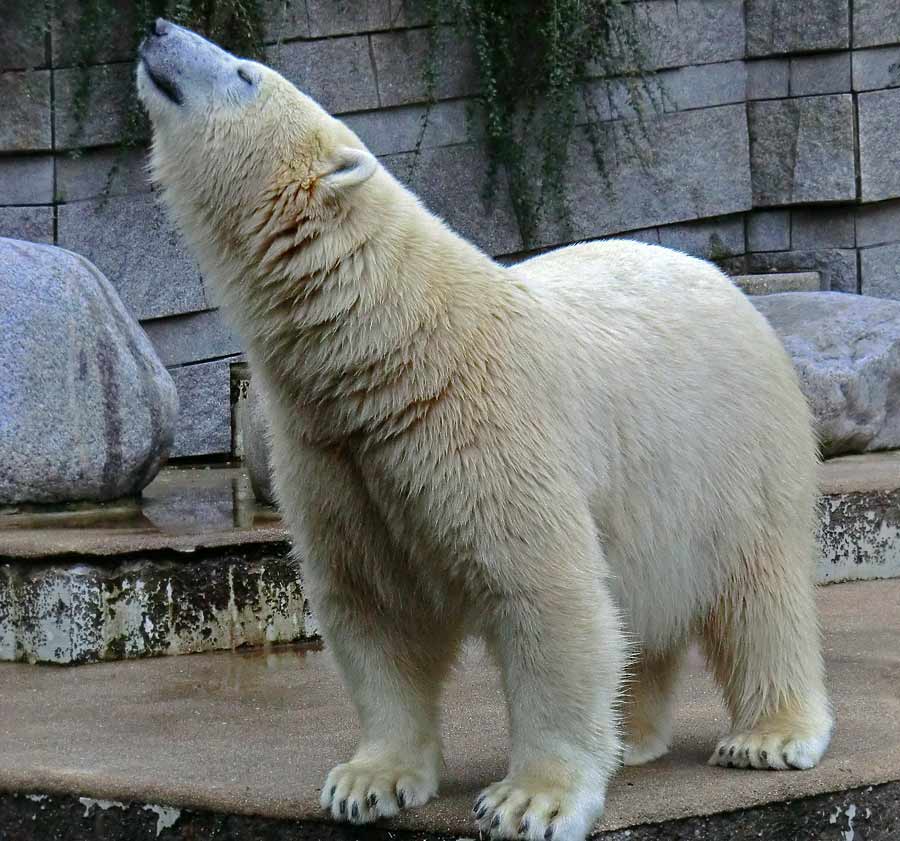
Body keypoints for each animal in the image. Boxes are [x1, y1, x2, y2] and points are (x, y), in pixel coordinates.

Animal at [137, 19, 832, 840]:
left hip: (739, 442)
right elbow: (372, 608)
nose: (158, 28)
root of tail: (729, 282)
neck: (389, 347)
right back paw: (631, 736)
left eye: (245, 73)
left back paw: (770, 736)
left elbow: (546, 592)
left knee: (760, 590)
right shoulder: (330, 451)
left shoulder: (487, 425)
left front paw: (531, 800)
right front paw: (366, 782)